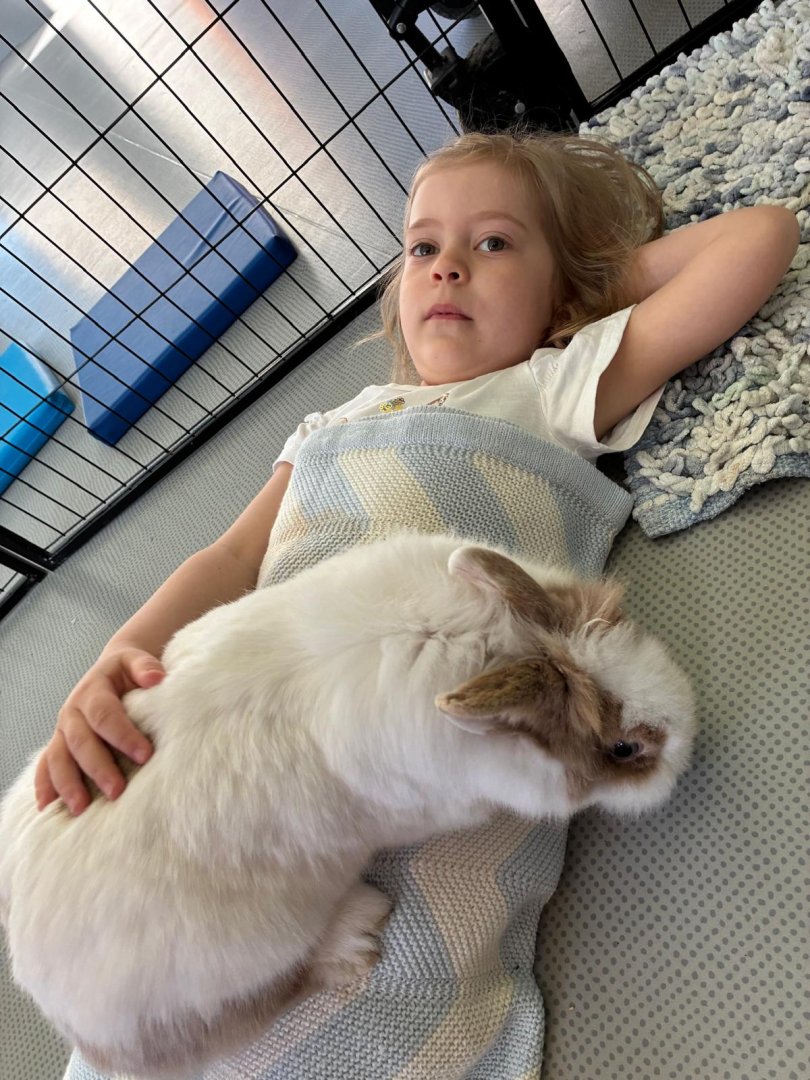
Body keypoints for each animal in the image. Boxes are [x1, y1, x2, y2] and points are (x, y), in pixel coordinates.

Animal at [0, 532, 696, 1079]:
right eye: (624, 748)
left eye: (628, 626)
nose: (691, 740)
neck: (487, 643)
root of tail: (55, 1003)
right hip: (254, 952)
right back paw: (355, 932)